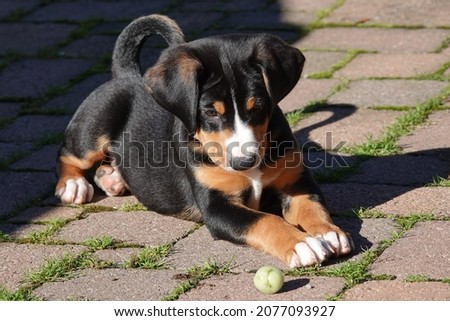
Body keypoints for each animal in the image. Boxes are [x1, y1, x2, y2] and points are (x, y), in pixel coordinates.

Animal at [56, 13, 354, 266]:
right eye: (210, 112)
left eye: (257, 107)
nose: (245, 161)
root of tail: (126, 73)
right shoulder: (217, 207)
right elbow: (265, 221)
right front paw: (302, 244)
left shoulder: (296, 183)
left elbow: (313, 208)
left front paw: (329, 233)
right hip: (94, 127)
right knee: (68, 153)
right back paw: (73, 185)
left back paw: (112, 177)